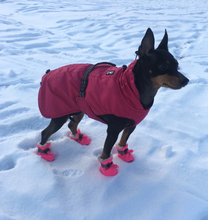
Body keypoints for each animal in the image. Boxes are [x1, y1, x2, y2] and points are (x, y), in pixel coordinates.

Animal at [37, 28, 188, 176]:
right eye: (162, 66)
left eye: (177, 64)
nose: (186, 80)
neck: (134, 89)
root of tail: (47, 75)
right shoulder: (113, 131)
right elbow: (106, 152)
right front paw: (107, 168)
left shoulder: (131, 125)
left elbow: (123, 140)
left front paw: (123, 153)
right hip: (60, 114)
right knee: (45, 133)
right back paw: (44, 152)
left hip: (79, 107)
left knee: (71, 124)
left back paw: (78, 138)